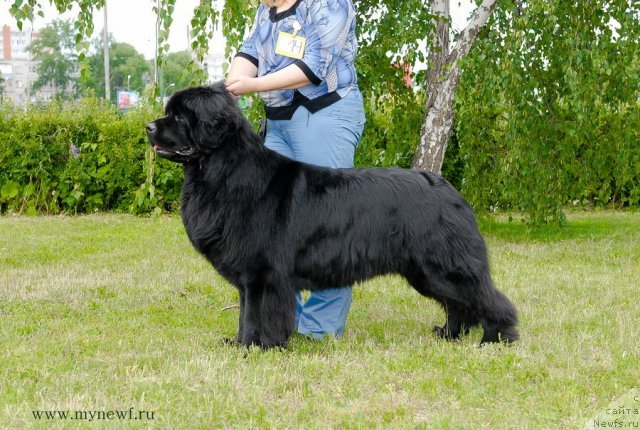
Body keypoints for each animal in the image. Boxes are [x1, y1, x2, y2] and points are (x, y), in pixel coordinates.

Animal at [148, 83, 516, 350]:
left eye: (180, 117)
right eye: (170, 113)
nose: (149, 126)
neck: (224, 172)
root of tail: (447, 187)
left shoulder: (262, 273)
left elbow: (255, 313)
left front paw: (253, 346)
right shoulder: (252, 276)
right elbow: (244, 313)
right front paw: (239, 342)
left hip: (442, 265)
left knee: (485, 297)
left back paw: (497, 338)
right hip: (423, 271)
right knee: (458, 304)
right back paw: (450, 334)